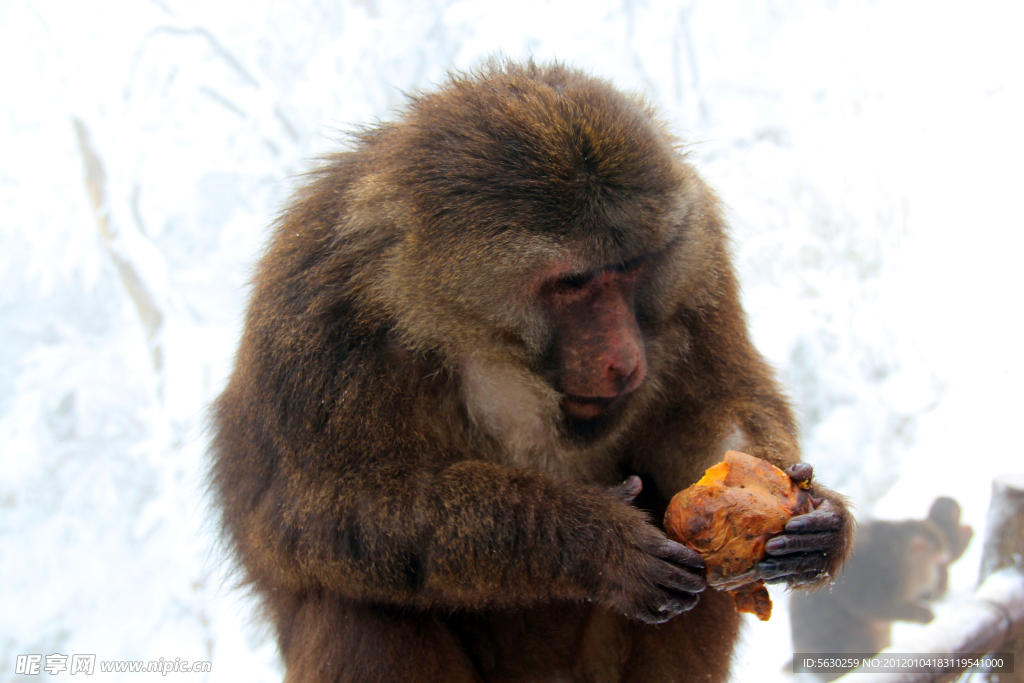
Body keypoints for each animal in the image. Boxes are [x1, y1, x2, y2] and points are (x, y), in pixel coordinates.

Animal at [209, 60, 856, 683]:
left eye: (629, 268)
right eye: (573, 283)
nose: (626, 361)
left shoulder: (700, 262)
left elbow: (704, 417)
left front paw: (810, 510)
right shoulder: (318, 319)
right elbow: (314, 520)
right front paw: (590, 539)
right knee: (358, 606)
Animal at [786, 499, 970, 679]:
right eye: (935, 554)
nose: (945, 552)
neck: (897, 556)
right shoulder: (882, 581)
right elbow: (880, 608)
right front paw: (924, 615)